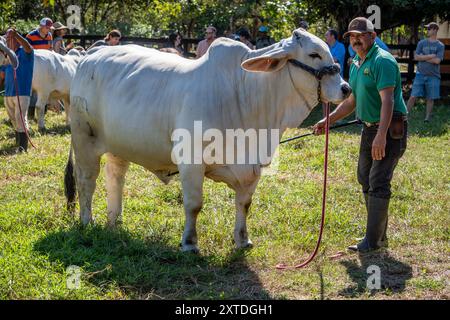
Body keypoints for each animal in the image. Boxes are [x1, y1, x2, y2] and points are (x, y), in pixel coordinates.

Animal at [65, 28, 352, 252]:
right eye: (313, 54)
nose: (346, 88)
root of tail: (92, 53)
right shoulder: (191, 163)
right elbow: (194, 205)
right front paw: (189, 243)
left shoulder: (253, 168)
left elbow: (244, 204)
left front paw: (243, 240)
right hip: (84, 139)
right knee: (86, 180)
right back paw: (87, 221)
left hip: (118, 145)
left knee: (115, 177)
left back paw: (115, 220)